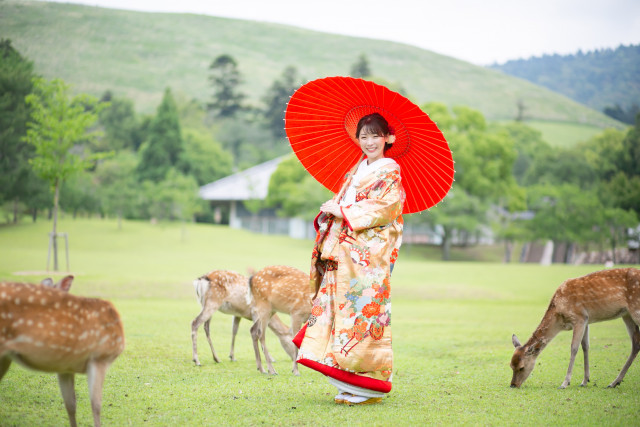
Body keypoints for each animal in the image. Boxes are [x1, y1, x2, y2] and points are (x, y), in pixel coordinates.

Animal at [510, 270, 640, 390]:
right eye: (511, 365)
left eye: (521, 367)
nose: (513, 385)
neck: (559, 318)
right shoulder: (586, 320)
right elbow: (585, 346)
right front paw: (585, 381)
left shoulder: (579, 318)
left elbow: (574, 348)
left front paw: (565, 383)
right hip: (626, 314)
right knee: (636, 344)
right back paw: (614, 382)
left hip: (635, 309)